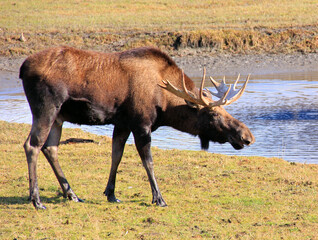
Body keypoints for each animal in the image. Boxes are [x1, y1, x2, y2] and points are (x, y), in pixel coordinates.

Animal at [19, 46, 253, 209]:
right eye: (213, 114)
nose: (247, 136)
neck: (165, 102)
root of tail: (22, 68)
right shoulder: (142, 124)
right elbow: (148, 162)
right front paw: (158, 198)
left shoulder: (122, 123)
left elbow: (116, 155)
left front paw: (111, 194)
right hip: (46, 108)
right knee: (32, 145)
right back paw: (36, 199)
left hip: (59, 117)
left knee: (50, 148)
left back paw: (72, 194)